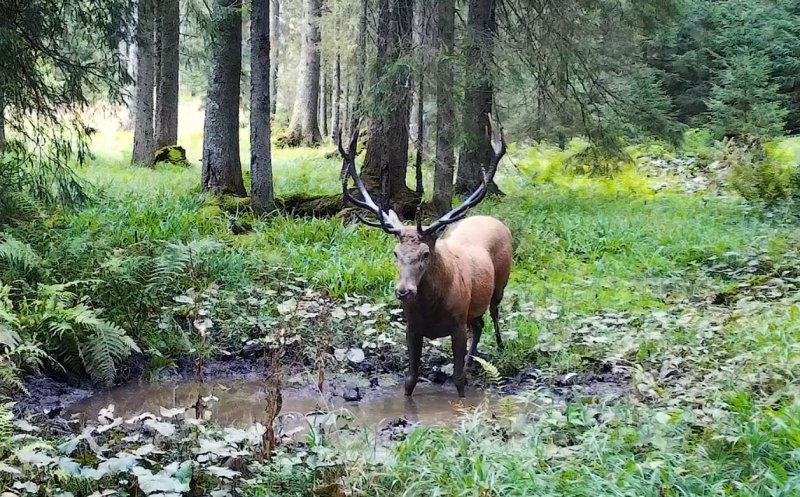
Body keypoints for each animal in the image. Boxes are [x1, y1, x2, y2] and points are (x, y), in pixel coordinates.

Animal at [338, 127, 512, 396]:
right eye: (395, 253)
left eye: (426, 253)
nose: (404, 291)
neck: (431, 310)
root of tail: (496, 222)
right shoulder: (412, 328)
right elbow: (410, 379)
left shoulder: (457, 325)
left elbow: (457, 380)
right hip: (474, 306)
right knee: (479, 324)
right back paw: (472, 361)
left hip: (501, 283)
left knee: (493, 313)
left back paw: (500, 347)